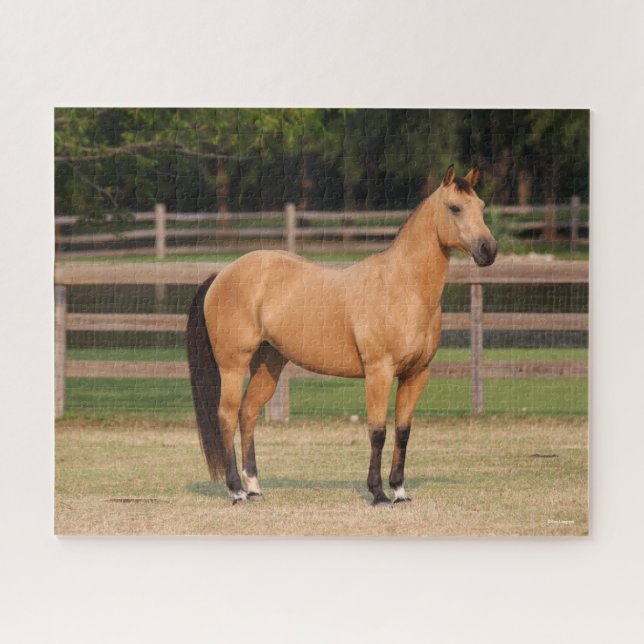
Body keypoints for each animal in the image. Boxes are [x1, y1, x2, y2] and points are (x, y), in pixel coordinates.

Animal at [187, 164, 497, 505]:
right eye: (455, 208)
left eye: (481, 206)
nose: (488, 250)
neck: (402, 287)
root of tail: (223, 274)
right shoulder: (379, 372)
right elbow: (378, 431)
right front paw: (378, 493)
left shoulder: (416, 375)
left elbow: (403, 430)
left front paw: (400, 490)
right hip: (233, 365)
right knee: (227, 416)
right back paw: (237, 491)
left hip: (269, 365)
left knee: (248, 414)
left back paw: (254, 486)